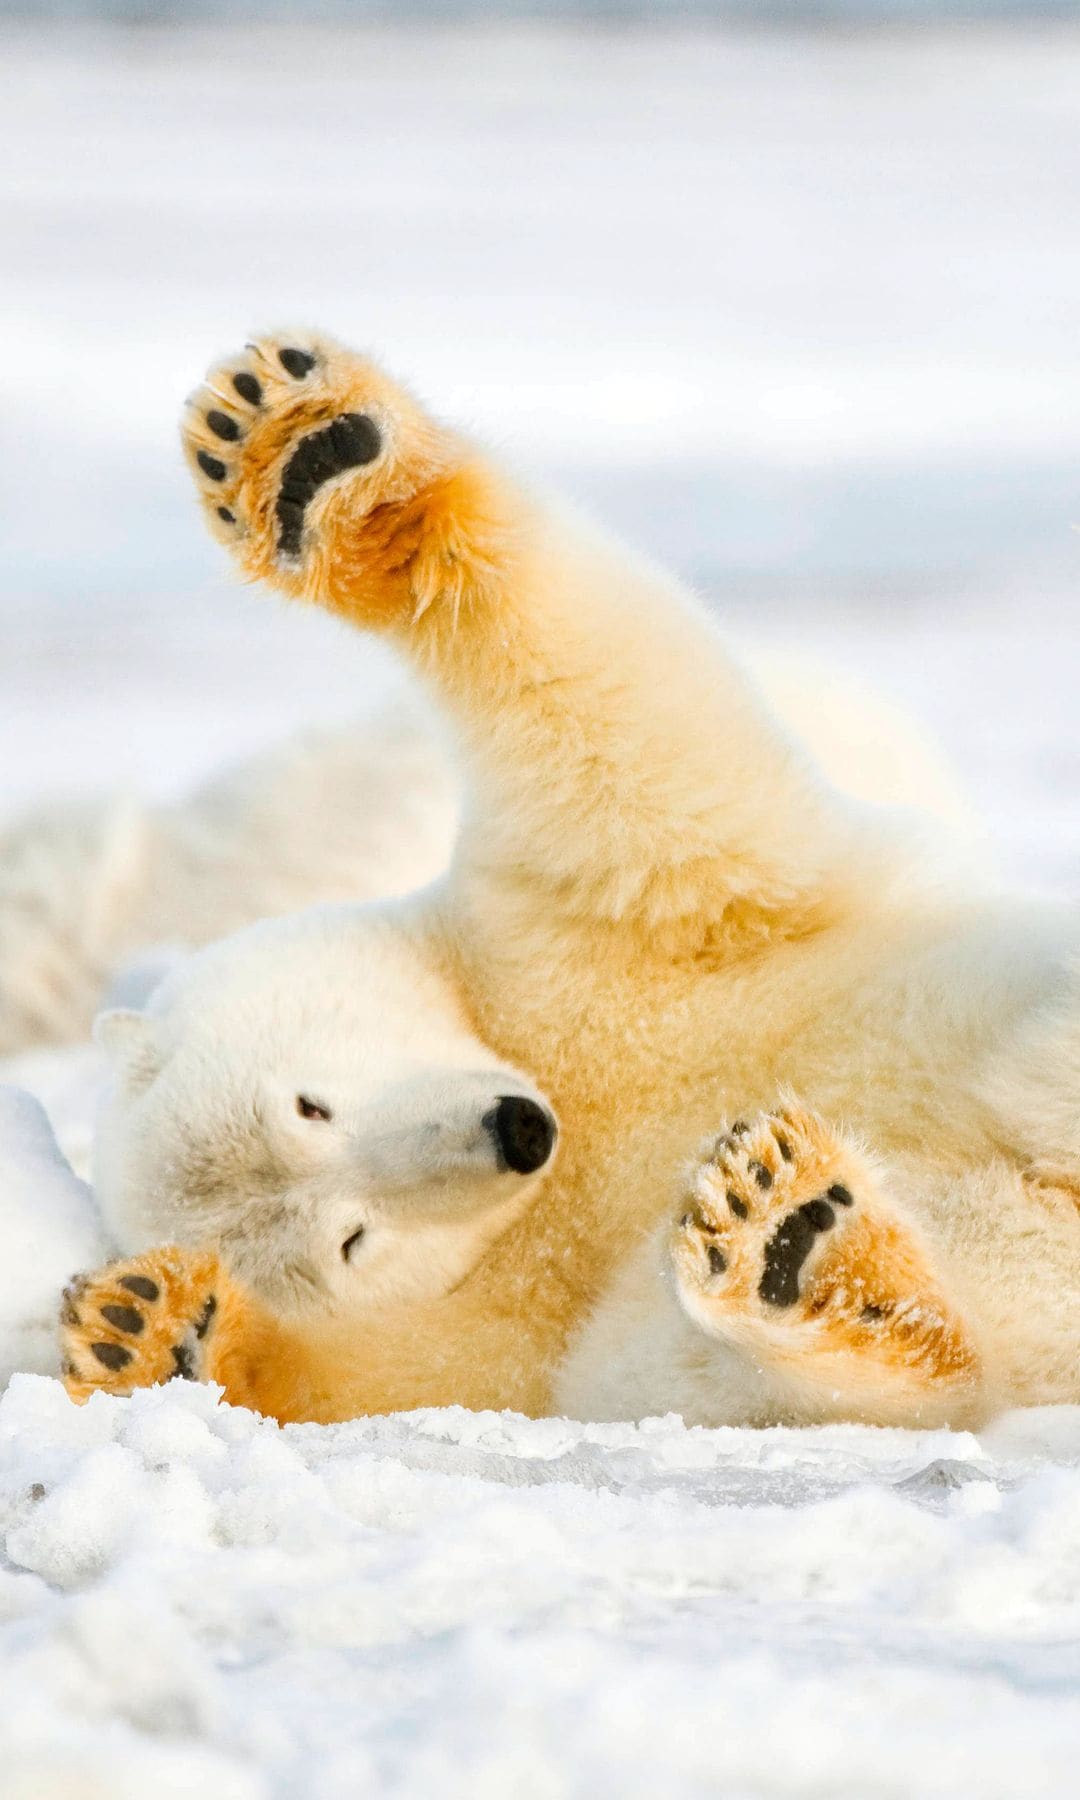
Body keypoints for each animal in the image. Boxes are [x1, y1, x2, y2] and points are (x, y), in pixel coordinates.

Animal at [59, 329, 1080, 1431]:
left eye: (311, 1104)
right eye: (350, 1237)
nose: (513, 1133)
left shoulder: (601, 922)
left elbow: (609, 711)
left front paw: (306, 458)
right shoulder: (521, 1319)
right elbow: (404, 1371)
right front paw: (155, 1326)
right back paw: (804, 1246)